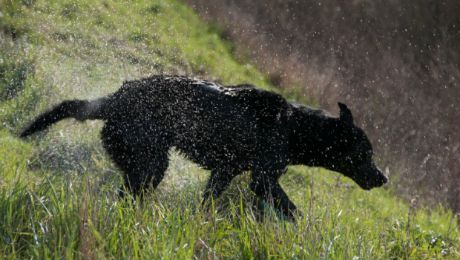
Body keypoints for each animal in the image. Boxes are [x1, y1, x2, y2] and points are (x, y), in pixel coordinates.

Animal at [19, 74, 386, 219]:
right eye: (365, 153)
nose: (383, 178)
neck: (294, 128)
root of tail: (114, 99)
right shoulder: (263, 179)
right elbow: (292, 210)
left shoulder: (224, 172)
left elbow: (208, 202)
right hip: (151, 162)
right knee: (130, 193)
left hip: (141, 163)